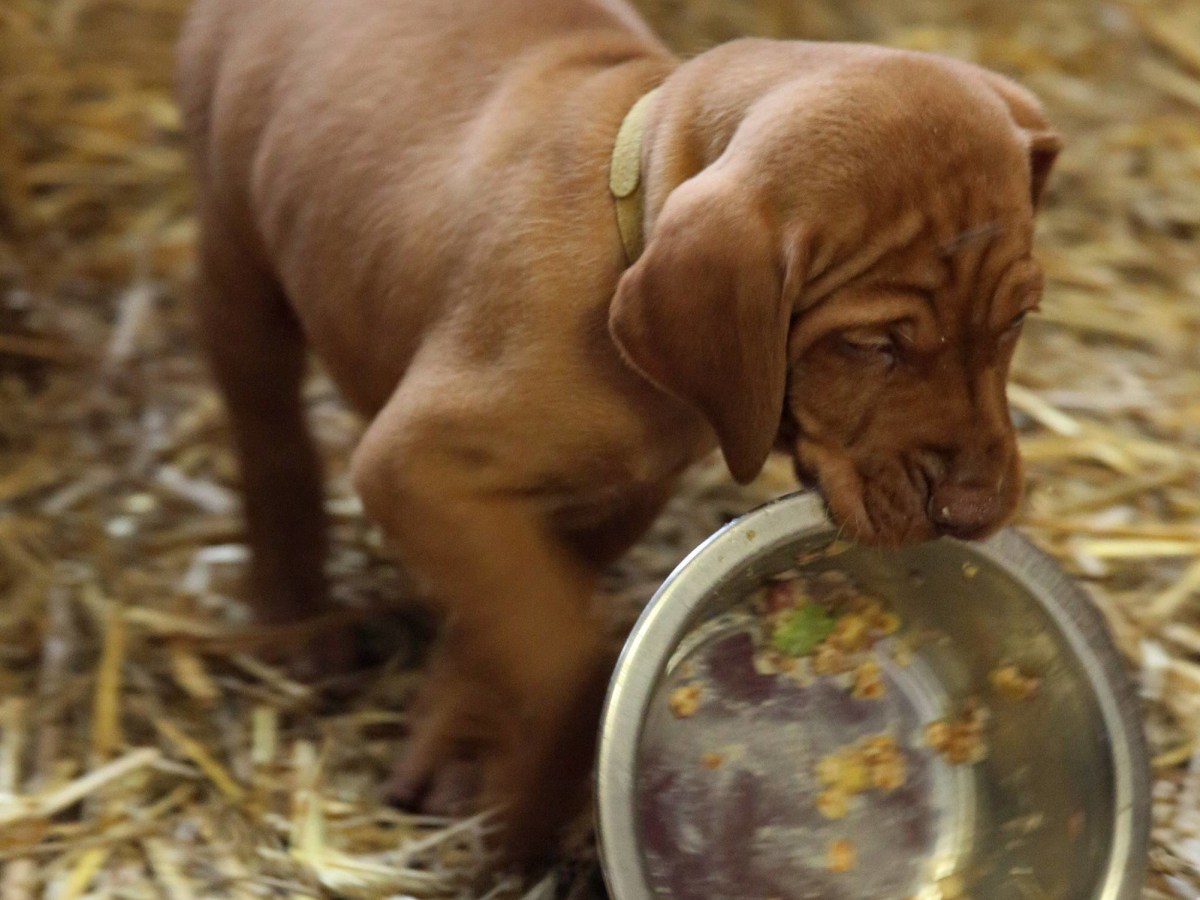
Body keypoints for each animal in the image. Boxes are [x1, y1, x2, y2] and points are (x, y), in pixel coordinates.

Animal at [177, 0, 1060, 864]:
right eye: (872, 345)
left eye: (1019, 319)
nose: (976, 511)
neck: (624, 222)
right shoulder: (418, 468)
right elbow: (564, 652)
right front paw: (535, 805)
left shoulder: (624, 490)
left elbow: (504, 623)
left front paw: (461, 737)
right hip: (234, 251)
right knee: (270, 437)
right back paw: (294, 614)